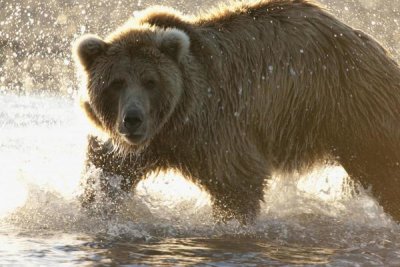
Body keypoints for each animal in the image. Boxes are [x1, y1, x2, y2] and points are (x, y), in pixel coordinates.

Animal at [73, 0, 400, 224]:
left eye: (150, 81)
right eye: (116, 82)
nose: (133, 119)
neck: (176, 121)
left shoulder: (217, 124)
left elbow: (237, 180)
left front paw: (231, 223)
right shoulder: (142, 145)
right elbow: (106, 172)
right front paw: (94, 208)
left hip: (351, 105)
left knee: (383, 167)